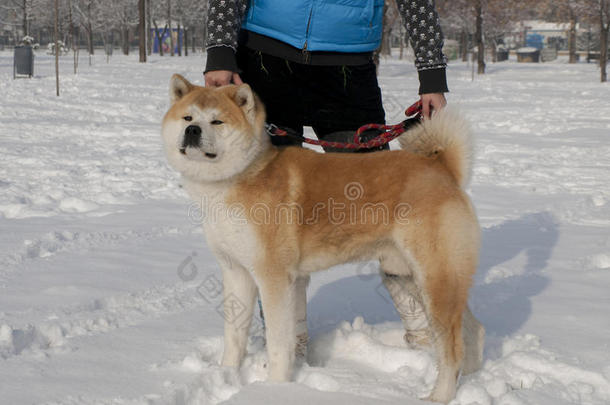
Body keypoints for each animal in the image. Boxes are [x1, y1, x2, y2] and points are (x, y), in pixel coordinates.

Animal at [160, 75, 480, 400]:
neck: (238, 177)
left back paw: (440, 396)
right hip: (408, 274)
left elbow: (278, 343)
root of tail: (442, 169)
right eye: (188, 117)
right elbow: (234, 335)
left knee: (452, 347)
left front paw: (274, 388)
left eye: (217, 121)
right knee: (471, 329)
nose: (192, 131)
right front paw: (227, 374)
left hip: (434, 279)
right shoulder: (236, 272)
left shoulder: (273, 277)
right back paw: (473, 376)